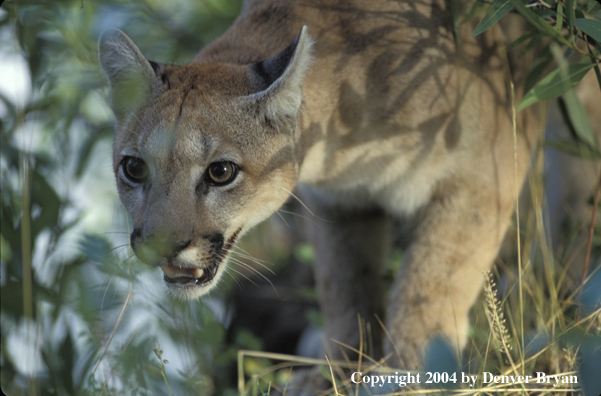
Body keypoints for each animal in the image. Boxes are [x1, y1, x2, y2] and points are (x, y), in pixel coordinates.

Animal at [98, 0, 540, 376]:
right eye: (134, 168)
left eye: (221, 172)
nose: (160, 246)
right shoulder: (341, 203)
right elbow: (345, 286)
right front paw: (338, 370)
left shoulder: (485, 171)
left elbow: (431, 281)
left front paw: (414, 373)